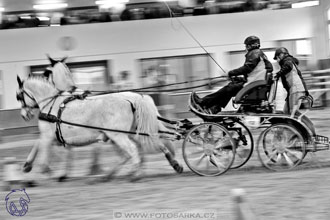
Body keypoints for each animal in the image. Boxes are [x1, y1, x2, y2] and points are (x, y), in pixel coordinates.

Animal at [16, 76, 182, 182]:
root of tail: (134, 100)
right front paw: (56, 173)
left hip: (118, 135)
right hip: (131, 132)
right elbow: (56, 151)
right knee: (149, 146)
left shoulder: (48, 136)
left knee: (132, 151)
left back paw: (135, 174)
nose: (24, 115)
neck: (52, 105)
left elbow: (41, 148)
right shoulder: (58, 137)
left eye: (19, 96)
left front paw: (40, 169)